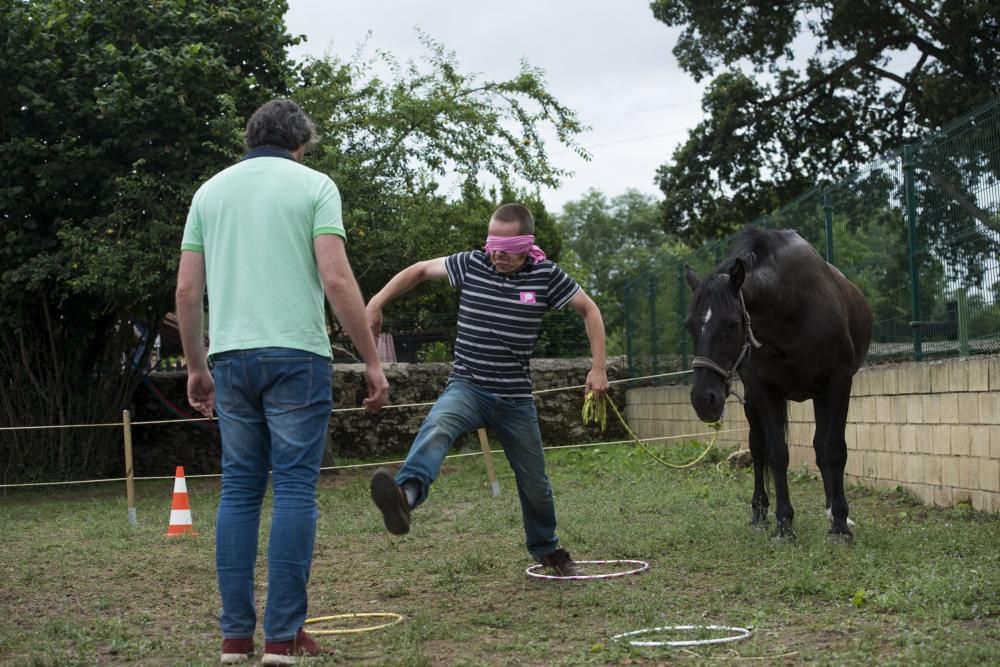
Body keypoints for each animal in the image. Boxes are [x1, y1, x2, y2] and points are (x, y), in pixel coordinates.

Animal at [684, 228, 872, 544]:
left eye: (732, 324)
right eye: (688, 325)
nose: (702, 399)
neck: (790, 308)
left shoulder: (838, 383)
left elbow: (834, 450)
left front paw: (840, 523)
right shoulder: (764, 389)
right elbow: (776, 453)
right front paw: (784, 524)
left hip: (820, 396)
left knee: (821, 448)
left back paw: (831, 511)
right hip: (751, 399)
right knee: (757, 449)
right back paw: (759, 512)